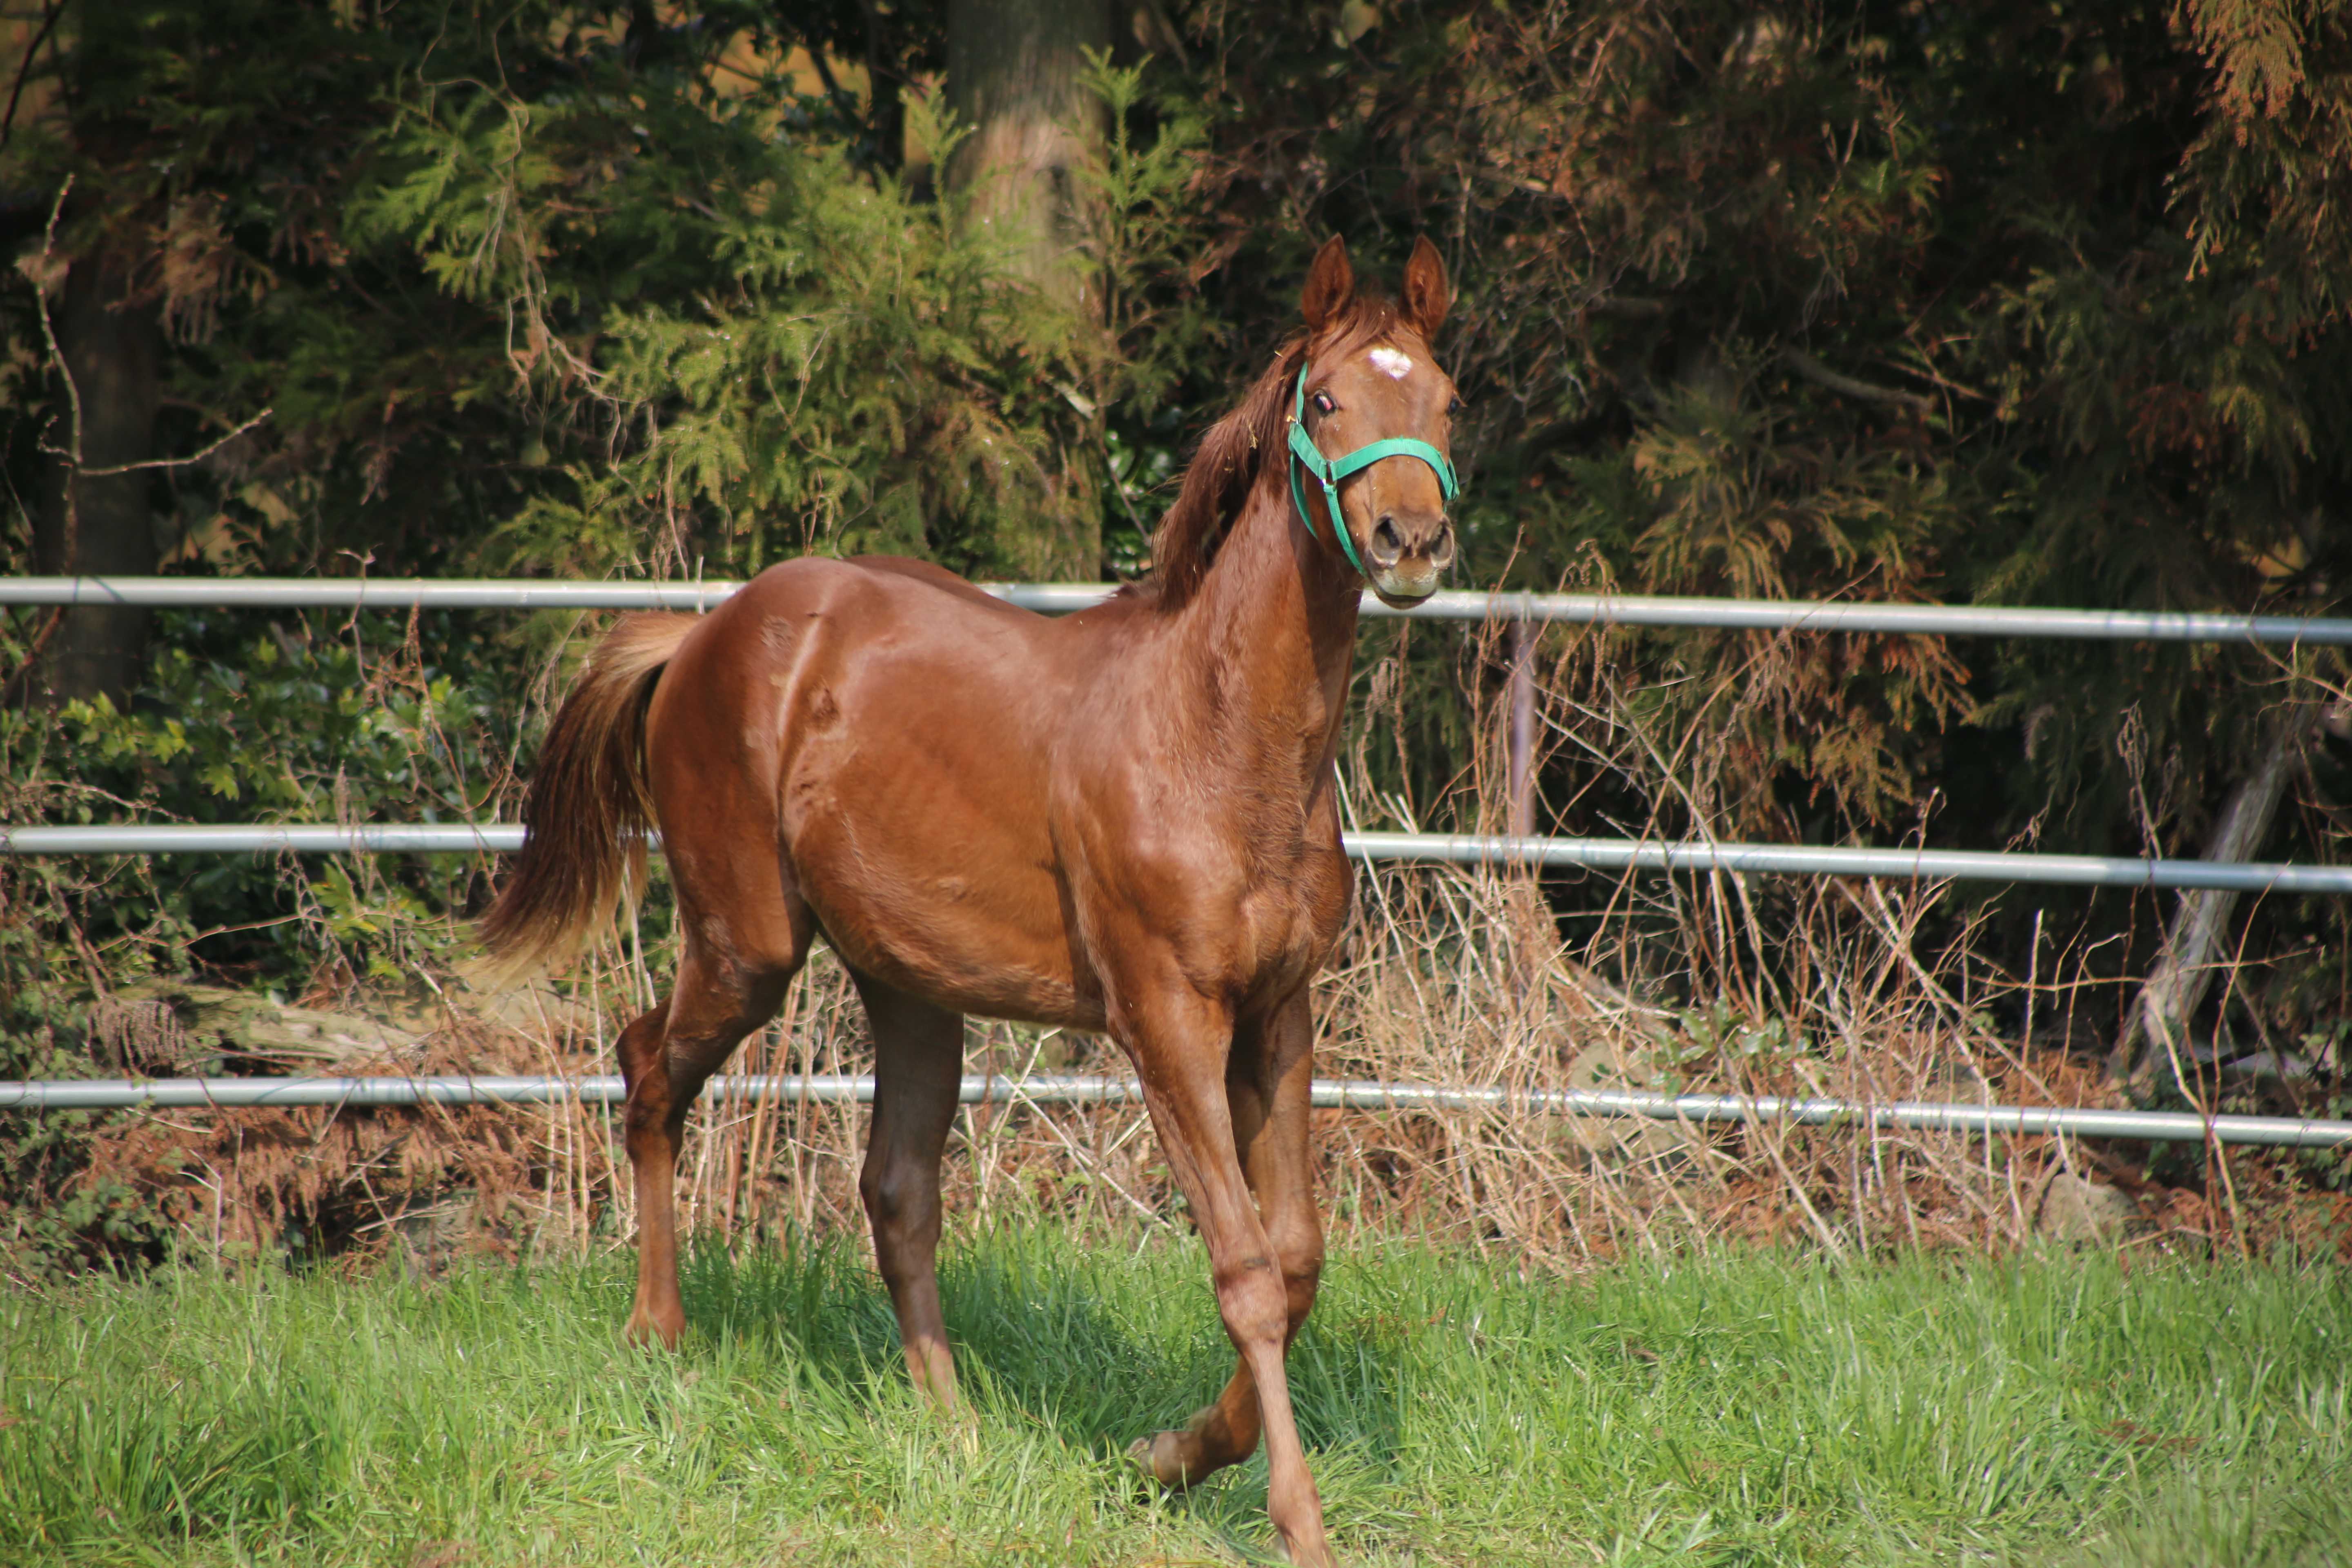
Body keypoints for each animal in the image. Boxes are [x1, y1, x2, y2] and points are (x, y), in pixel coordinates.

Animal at [482, 236, 1449, 1568]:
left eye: (1447, 398)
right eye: (1324, 402)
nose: (1411, 537)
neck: (1217, 739)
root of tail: (703, 634)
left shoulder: (1278, 1014)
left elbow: (1298, 1260)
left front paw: (1165, 1454)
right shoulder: (1166, 1023)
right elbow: (1248, 1269)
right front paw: (1291, 1519)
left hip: (907, 983)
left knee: (896, 1189)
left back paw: (954, 1424)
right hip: (747, 944)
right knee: (645, 1067)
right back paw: (656, 1334)